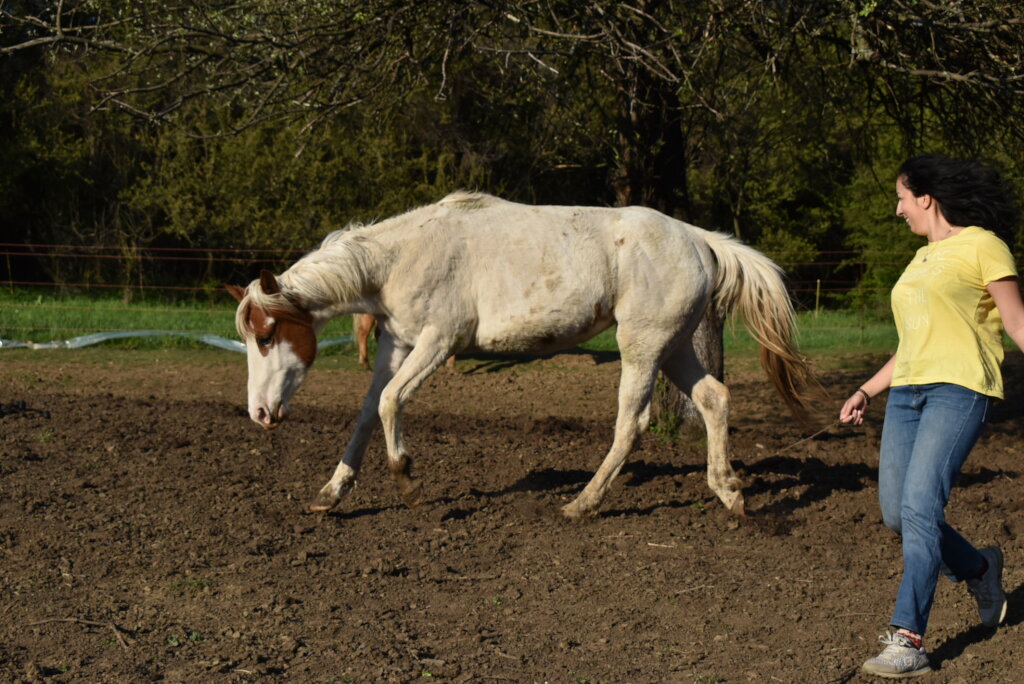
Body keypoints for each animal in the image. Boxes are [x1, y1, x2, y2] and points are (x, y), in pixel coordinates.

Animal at [228, 191, 822, 518]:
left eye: (266, 335)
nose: (258, 413)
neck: (401, 255)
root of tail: (698, 238)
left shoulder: (439, 342)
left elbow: (393, 403)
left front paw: (407, 481)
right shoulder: (397, 344)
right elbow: (369, 412)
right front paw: (332, 492)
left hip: (643, 345)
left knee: (632, 422)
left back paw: (583, 504)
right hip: (673, 345)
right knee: (714, 400)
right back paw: (729, 494)